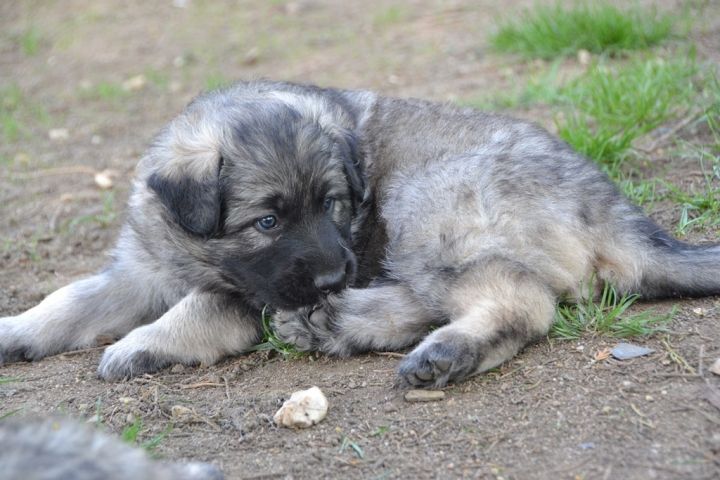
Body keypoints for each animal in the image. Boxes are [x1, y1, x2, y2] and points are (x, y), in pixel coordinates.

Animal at [1, 81, 718, 387]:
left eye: (335, 205)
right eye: (267, 220)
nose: (329, 275)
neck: (200, 251)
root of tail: (610, 204)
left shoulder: (250, 292)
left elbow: (199, 307)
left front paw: (143, 343)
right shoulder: (142, 268)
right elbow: (72, 297)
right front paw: (17, 329)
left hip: (428, 205)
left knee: (520, 299)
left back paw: (431, 347)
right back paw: (336, 321)